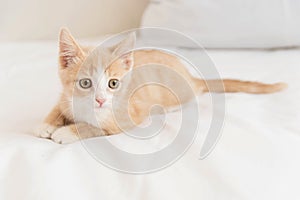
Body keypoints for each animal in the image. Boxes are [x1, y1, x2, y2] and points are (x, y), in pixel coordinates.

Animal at [34, 28, 288, 144]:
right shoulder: (66, 97)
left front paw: (65, 131)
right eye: (85, 83)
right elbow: (58, 107)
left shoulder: (126, 118)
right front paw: (47, 124)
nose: (100, 100)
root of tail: (190, 75)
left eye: (113, 83)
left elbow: (94, 127)